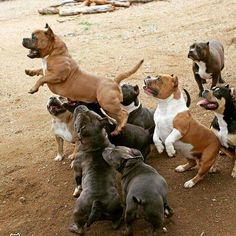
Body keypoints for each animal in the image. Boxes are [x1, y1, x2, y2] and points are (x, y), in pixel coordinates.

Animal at [68, 106, 122, 235]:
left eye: (77, 118)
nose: (80, 106)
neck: (96, 144)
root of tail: (97, 202)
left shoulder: (77, 169)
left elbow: (77, 182)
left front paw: (77, 191)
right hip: (115, 207)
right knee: (116, 220)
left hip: (78, 211)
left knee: (81, 229)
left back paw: (73, 228)